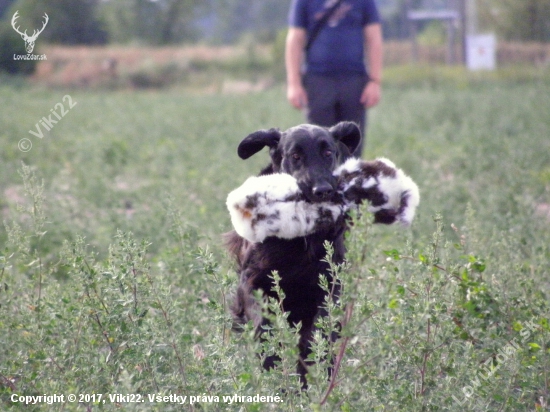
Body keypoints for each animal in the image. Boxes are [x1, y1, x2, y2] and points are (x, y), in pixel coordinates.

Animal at [224, 120, 362, 384]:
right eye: (295, 156)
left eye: (328, 152)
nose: (322, 190)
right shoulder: (252, 281)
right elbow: (262, 322)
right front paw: (269, 358)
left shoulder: (329, 285)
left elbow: (319, 329)